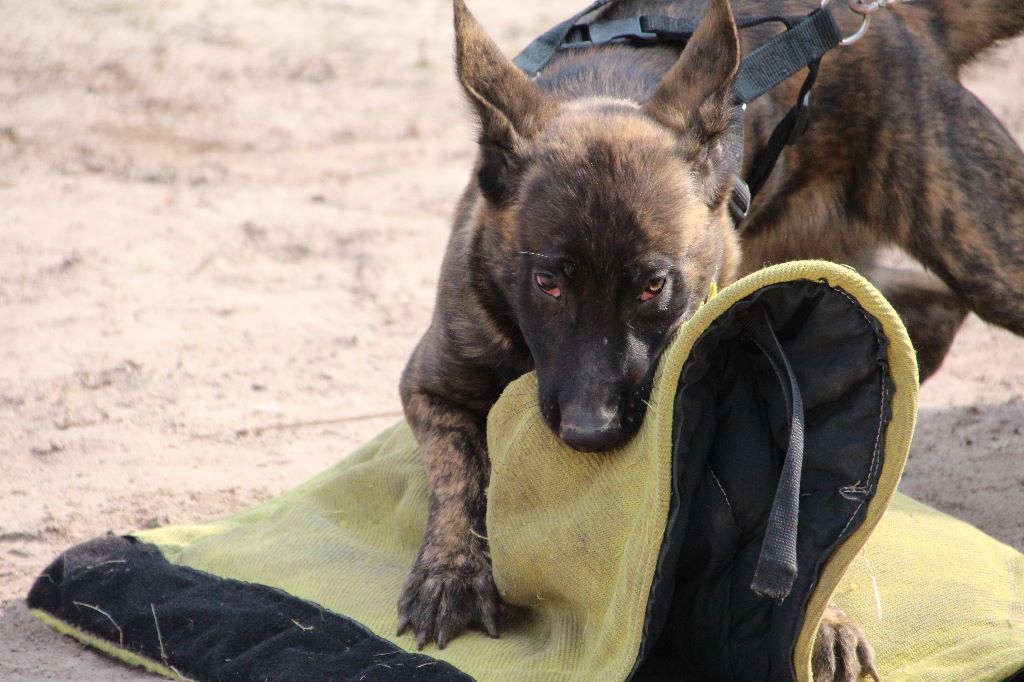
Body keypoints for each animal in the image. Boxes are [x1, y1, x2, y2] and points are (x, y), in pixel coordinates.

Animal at [395, 0, 1024, 671]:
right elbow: (460, 475)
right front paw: (452, 571)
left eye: (653, 286)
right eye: (547, 283)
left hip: (981, 249)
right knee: (930, 306)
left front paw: (822, 620)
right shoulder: (431, 386)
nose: (590, 433)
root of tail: (896, 22)